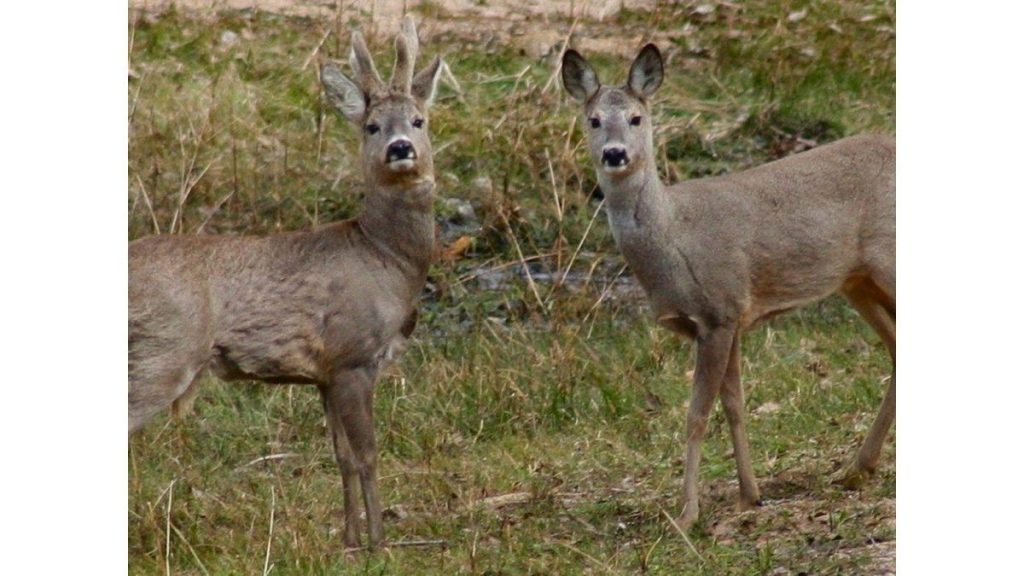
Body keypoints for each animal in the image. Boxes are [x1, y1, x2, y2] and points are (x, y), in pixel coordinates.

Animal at [128, 17, 445, 550]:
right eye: (372, 126)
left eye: (419, 121)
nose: (400, 148)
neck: (385, 259)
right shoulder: (353, 355)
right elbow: (368, 454)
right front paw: (379, 543)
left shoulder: (326, 372)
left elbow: (341, 456)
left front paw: (350, 540)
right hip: (162, 352)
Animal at [561, 44, 895, 530]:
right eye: (593, 120)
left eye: (637, 118)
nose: (615, 154)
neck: (673, 238)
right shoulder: (733, 316)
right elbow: (734, 404)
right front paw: (749, 495)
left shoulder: (718, 311)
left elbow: (697, 414)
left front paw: (687, 514)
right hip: (859, 282)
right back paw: (856, 469)